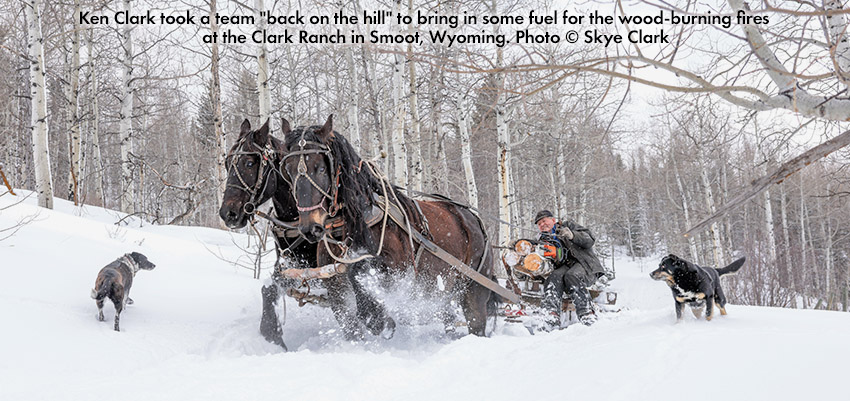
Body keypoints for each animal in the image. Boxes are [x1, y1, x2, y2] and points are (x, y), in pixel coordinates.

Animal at [217, 117, 316, 348]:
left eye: (249, 163)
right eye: (227, 163)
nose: (228, 214)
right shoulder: (288, 265)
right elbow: (268, 291)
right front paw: (273, 332)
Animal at [278, 115, 494, 334]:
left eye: (321, 168)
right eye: (288, 170)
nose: (310, 228)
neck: (347, 231)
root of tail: (473, 218)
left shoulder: (397, 272)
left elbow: (360, 274)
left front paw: (380, 320)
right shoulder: (337, 295)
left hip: (474, 292)